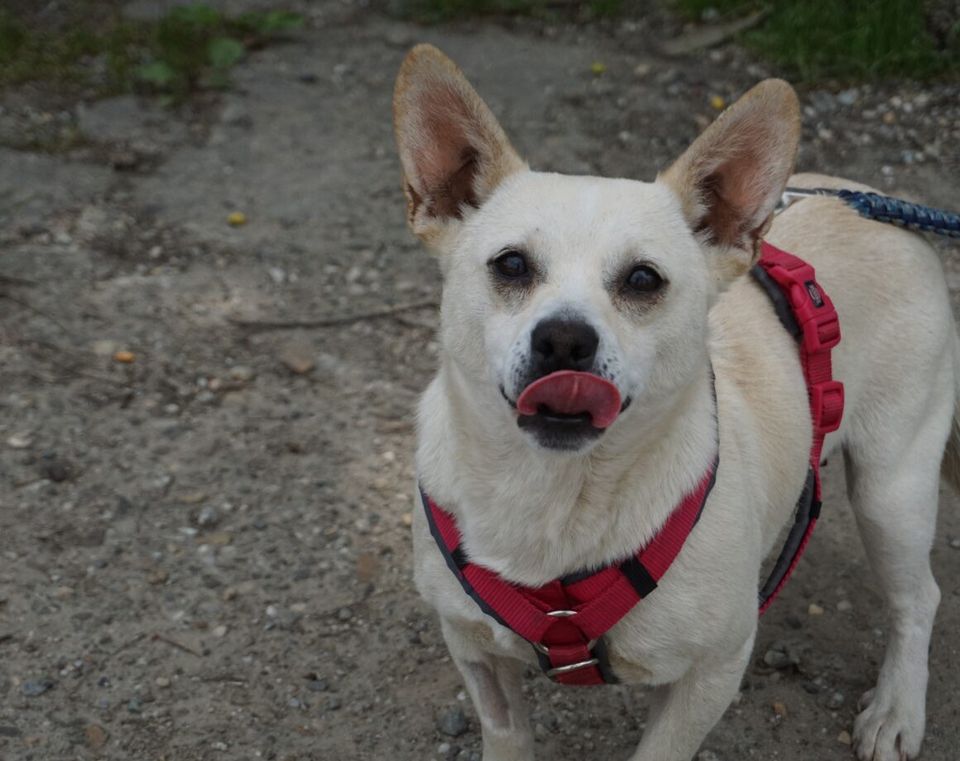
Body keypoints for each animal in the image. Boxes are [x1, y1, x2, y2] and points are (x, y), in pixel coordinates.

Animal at [392, 43, 960, 760]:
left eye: (643, 279)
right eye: (511, 265)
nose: (564, 338)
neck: (553, 496)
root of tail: (880, 204)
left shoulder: (713, 671)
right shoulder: (476, 655)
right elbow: (506, 734)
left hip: (892, 490)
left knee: (919, 599)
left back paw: (897, 709)